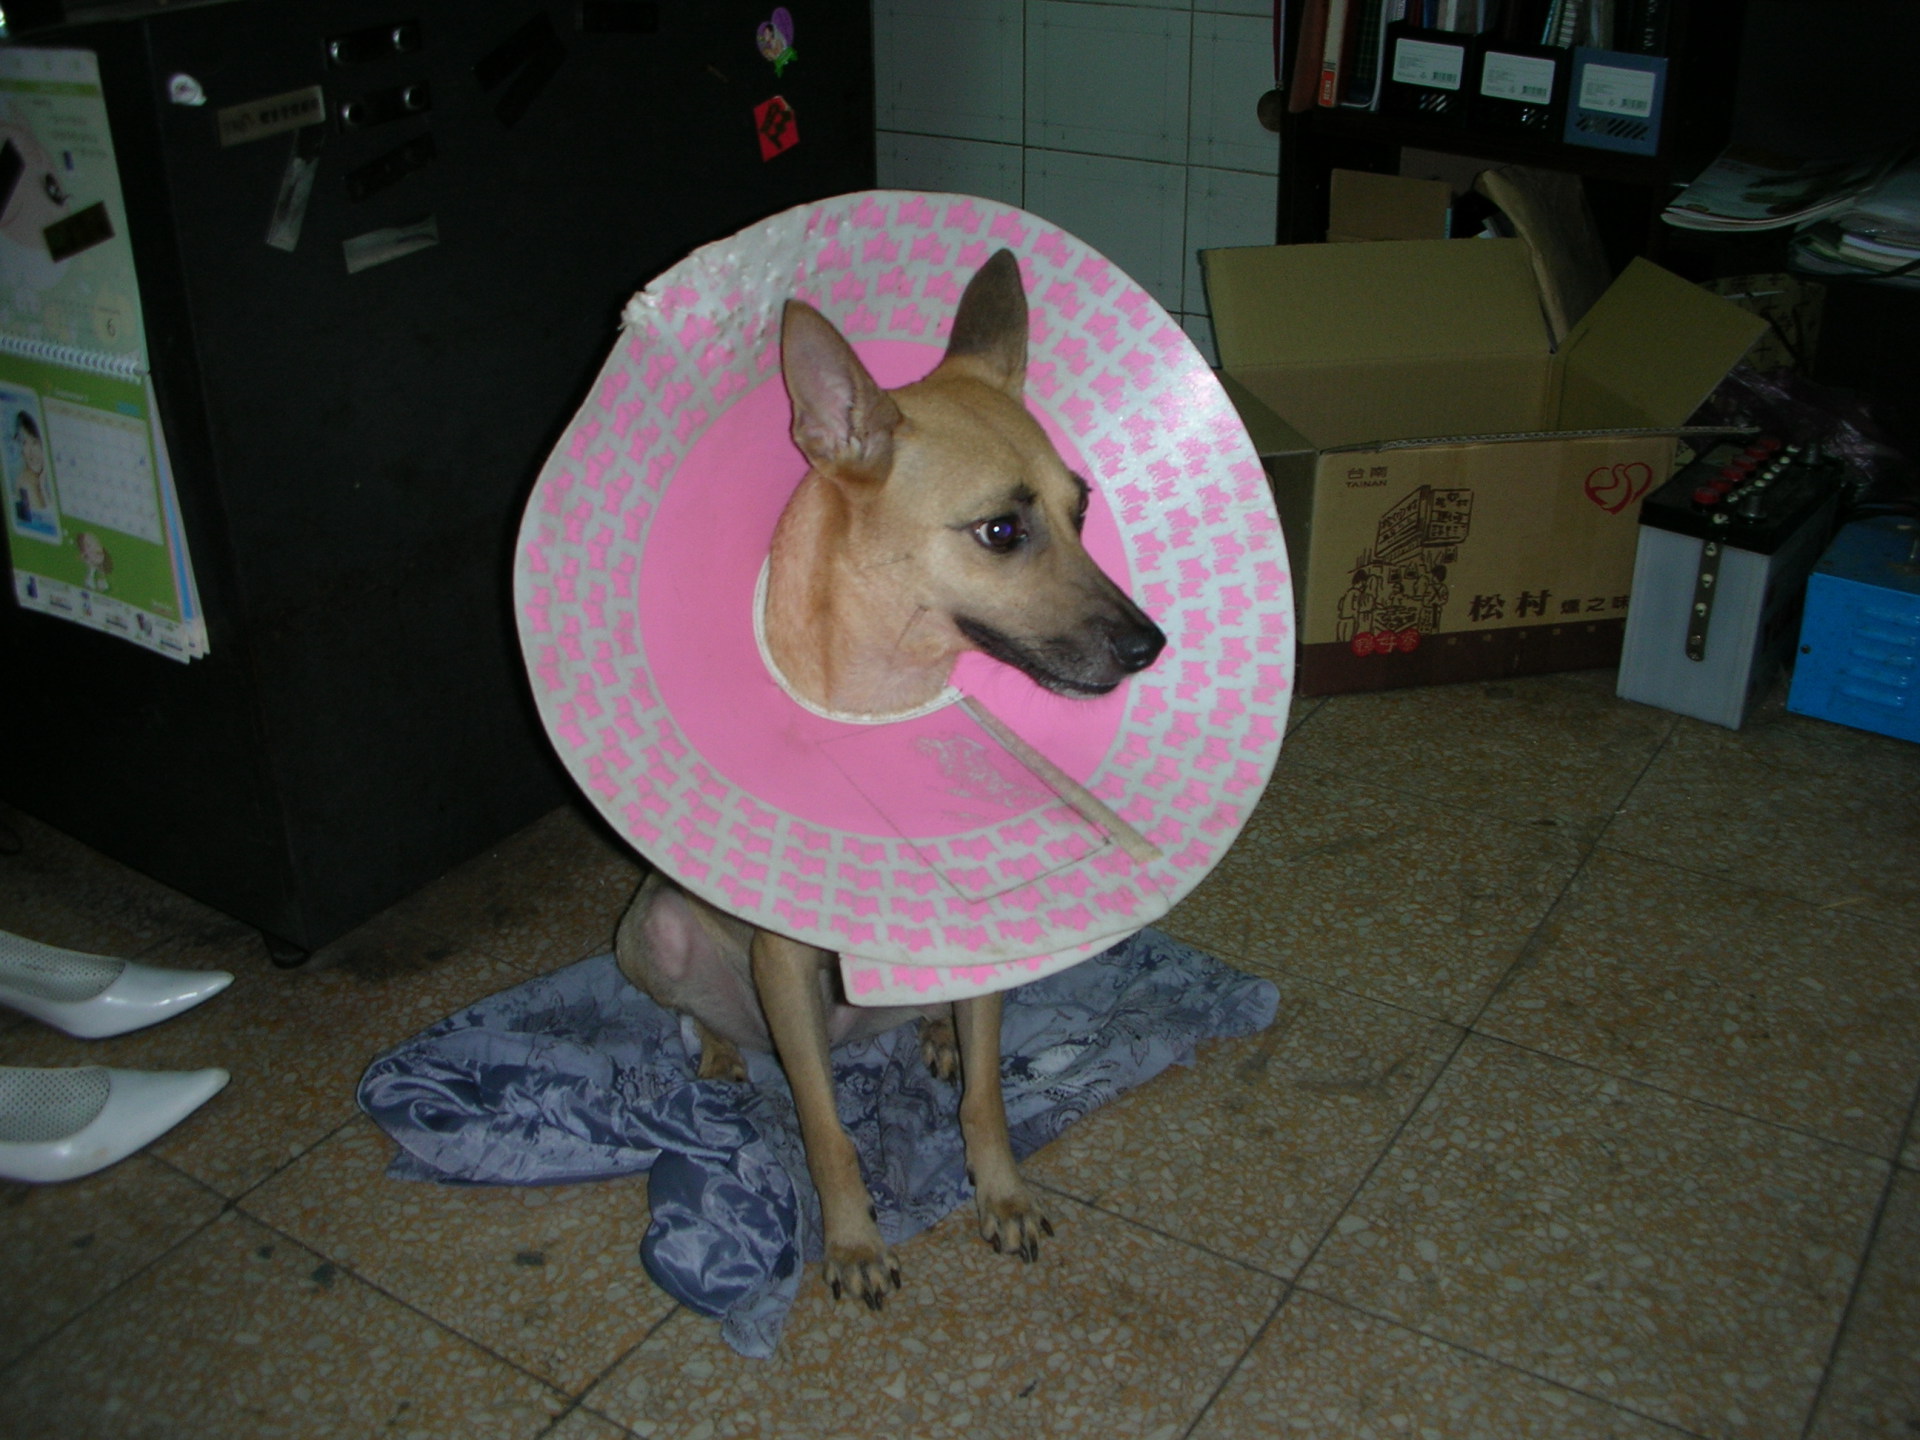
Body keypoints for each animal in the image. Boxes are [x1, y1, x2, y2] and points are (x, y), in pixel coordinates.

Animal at [616, 249, 1166, 1309]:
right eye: (1001, 531)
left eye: (1081, 512)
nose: (1150, 647)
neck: (883, 694)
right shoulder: (784, 963)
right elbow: (827, 1132)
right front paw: (854, 1242)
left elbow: (988, 1097)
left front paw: (999, 1192)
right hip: (650, 932)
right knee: (694, 1015)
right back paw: (718, 1050)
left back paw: (936, 1035)